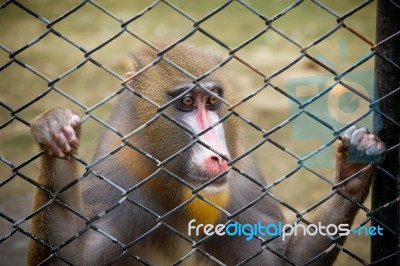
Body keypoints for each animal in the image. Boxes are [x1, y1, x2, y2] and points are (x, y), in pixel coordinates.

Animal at [27, 42, 384, 264]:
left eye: (212, 101)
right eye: (187, 102)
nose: (217, 157)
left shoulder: (243, 177)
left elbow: (279, 259)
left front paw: (354, 168)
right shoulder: (117, 176)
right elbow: (76, 256)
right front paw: (54, 131)